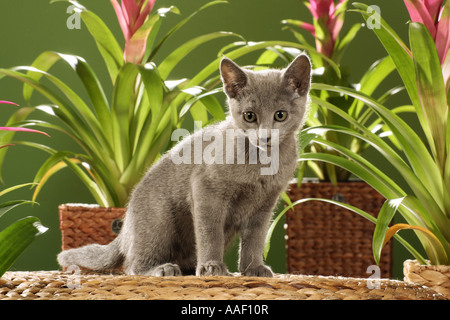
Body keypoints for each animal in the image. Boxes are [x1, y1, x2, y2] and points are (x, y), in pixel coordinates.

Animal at [58, 53, 312, 276]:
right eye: (249, 116)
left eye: (280, 115)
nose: (265, 136)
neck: (261, 164)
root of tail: (127, 223)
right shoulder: (205, 189)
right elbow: (210, 233)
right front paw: (212, 267)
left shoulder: (265, 204)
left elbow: (255, 238)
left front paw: (253, 269)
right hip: (159, 220)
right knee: (132, 265)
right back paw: (162, 269)